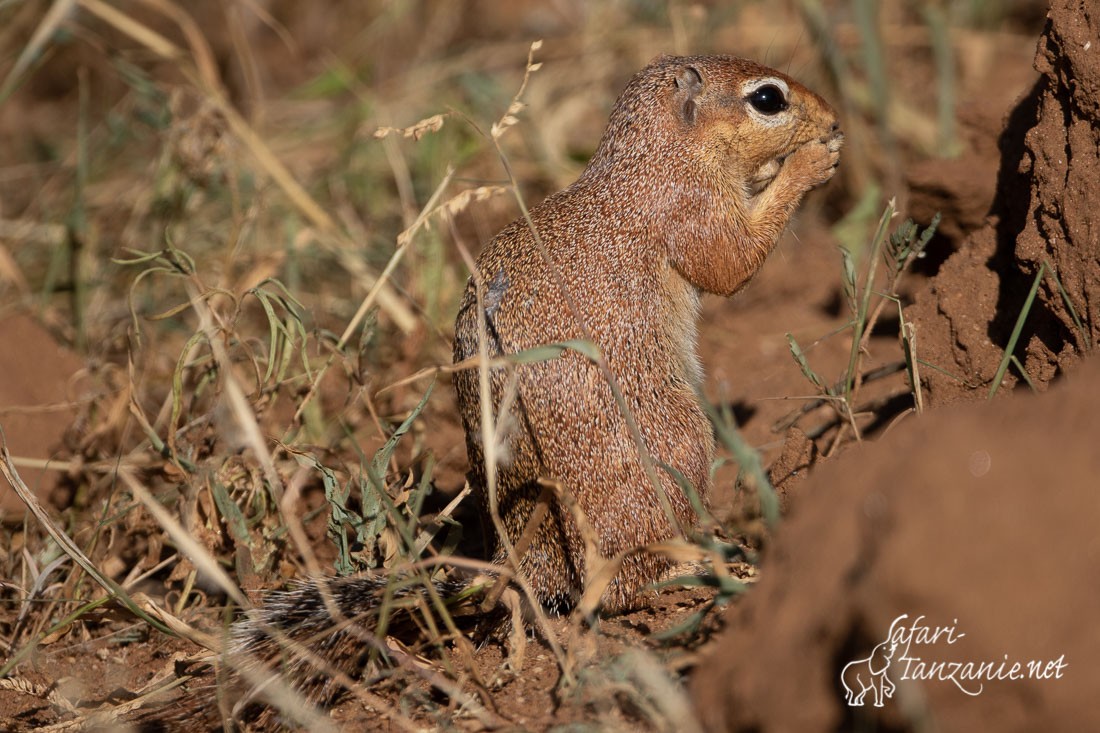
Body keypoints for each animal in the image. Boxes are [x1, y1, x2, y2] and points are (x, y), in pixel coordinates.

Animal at [139, 54, 840, 726]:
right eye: (768, 98)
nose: (833, 120)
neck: (652, 157)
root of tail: (518, 567)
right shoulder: (687, 208)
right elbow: (731, 262)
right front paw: (812, 161)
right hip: (679, 448)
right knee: (617, 590)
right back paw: (692, 566)